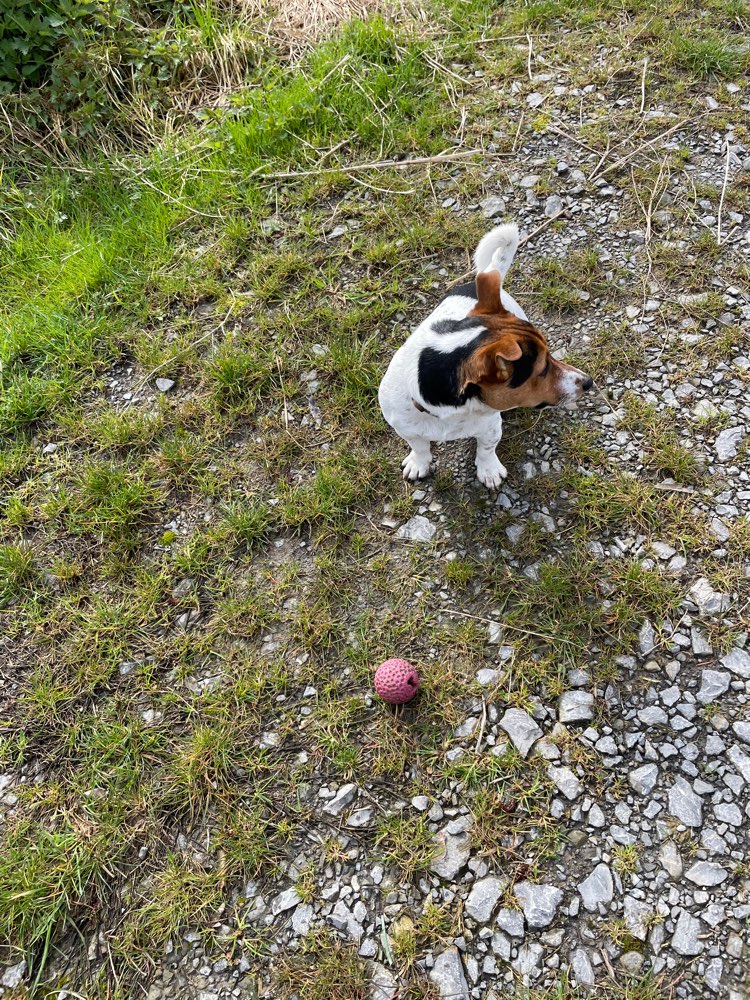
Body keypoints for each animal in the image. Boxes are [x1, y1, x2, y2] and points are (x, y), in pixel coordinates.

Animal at [378, 224, 596, 488]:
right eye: (543, 369)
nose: (588, 381)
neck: (450, 413)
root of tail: (487, 275)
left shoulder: (491, 425)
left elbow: (486, 449)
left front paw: (489, 471)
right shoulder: (405, 427)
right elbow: (419, 446)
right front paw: (419, 463)